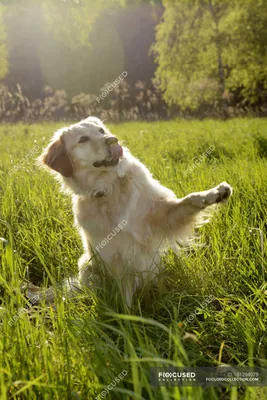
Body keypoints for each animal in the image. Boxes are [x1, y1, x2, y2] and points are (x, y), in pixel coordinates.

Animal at [35, 115, 232, 306]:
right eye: (83, 139)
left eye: (101, 130)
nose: (113, 140)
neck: (108, 188)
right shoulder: (116, 256)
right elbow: (125, 295)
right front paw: (126, 316)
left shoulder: (162, 215)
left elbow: (190, 199)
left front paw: (216, 193)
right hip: (87, 266)